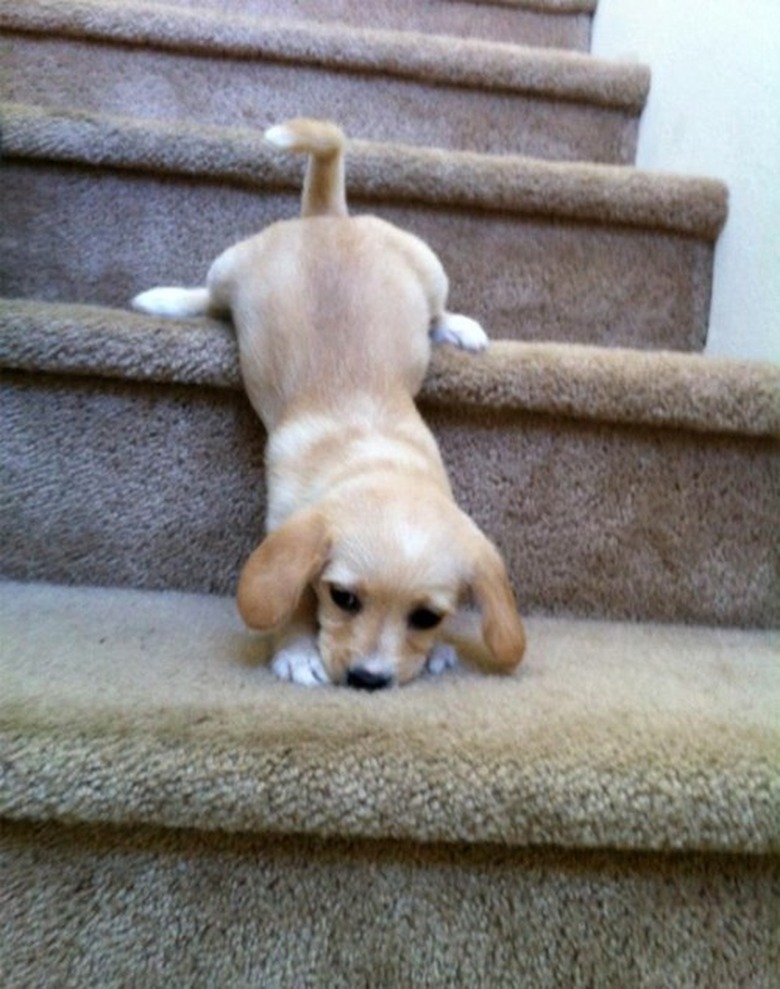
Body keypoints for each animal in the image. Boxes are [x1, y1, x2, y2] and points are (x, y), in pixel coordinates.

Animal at [134, 117, 528, 688]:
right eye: (343, 598)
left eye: (426, 617)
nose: (368, 680)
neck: (375, 454)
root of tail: (327, 216)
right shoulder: (283, 528)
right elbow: (292, 594)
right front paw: (297, 650)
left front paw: (434, 651)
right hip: (230, 267)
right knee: (207, 299)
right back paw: (165, 299)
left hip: (429, 272)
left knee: (436, 311)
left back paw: (459, 326)